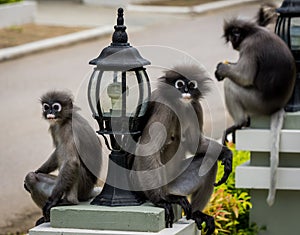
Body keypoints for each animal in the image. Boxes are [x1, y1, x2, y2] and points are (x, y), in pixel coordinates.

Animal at [23, 91, 103, 225]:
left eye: (56, 107)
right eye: (46, 107)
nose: (50, 112)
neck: (64, 120)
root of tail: (90, 192)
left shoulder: (69, 130)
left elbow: (72, 161)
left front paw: (51, 202)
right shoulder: (55, 128)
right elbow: (57, 152)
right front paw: (39, 171)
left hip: (83, 187)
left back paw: (69, 201)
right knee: (31, 178)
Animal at [131, 64, 232, 235]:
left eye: (191, 84)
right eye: (179, 84)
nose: (185, 90)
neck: (180, 104)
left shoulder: (195, 106)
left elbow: (195, 144)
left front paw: (226, 153)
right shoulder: (164, 106)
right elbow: (148, 149)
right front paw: (160, 201)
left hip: (177, 185)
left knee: (210, 160)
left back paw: (197, 213)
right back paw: (165, 198)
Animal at [214, 17, 296, 206]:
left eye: (234, 35)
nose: (233, 41)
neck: (251, 32)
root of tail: (277, 105)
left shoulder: (249, 46)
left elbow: (245, 77)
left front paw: (222, 68)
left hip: (256, 102)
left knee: (231, 84)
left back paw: (240, 122)